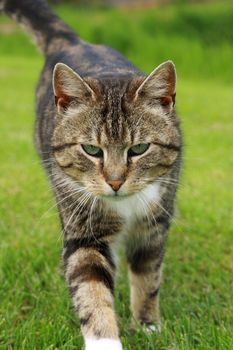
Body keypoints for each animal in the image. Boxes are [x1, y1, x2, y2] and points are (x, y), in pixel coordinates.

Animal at [0, 1, 182, 348]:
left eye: (139, 148)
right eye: (91, 150)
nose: (115, 182)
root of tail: (74, 41)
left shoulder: (154, 224)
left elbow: (148, 276)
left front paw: (147, 325)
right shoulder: (84, 232)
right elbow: (92, 289)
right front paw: (106, 341)